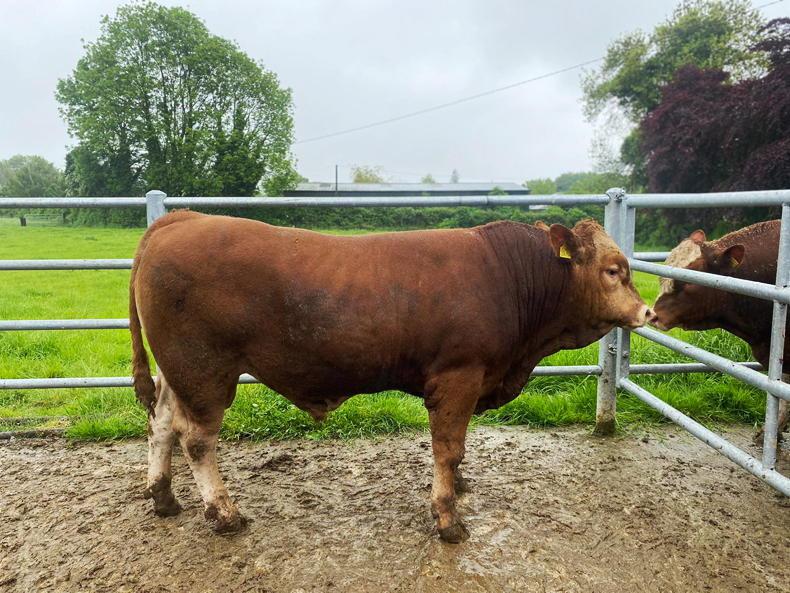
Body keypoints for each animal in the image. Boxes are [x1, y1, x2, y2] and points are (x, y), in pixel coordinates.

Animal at [129, 211, 650, 542]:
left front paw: (457, 487)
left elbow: (455, 451)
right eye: (612, 270)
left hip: (177, 372)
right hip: (204, 371)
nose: (646, 311)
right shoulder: (458, 376)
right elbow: (448, 448)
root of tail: (182, 218)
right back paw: (224, 515)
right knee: (197, 439)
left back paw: (163, 497)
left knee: (161, 422)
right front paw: (448, 519)